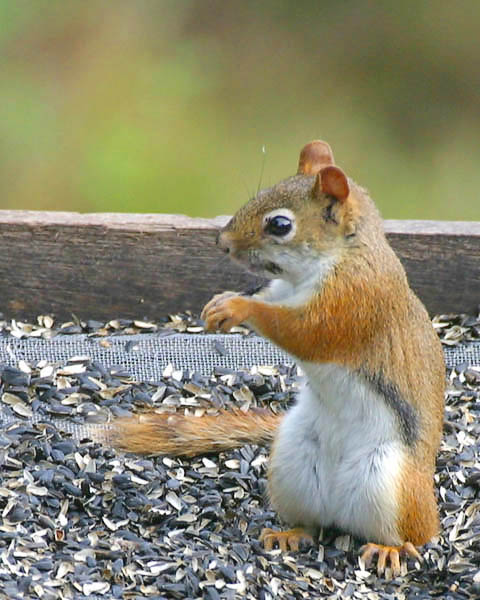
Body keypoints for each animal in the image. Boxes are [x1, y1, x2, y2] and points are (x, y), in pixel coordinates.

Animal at [114, 141, 444, 576]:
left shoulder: (351, 301)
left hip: (393, 480)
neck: (335, 256)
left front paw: (237, 308)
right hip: (292, 462)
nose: (222, 242)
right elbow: (269, 298)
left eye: (280, 225)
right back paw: (289, 534)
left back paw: (390, 549)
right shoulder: (281, 289)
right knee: (313, 521)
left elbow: (302, 332)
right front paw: (221, 302)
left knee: (413, 534)